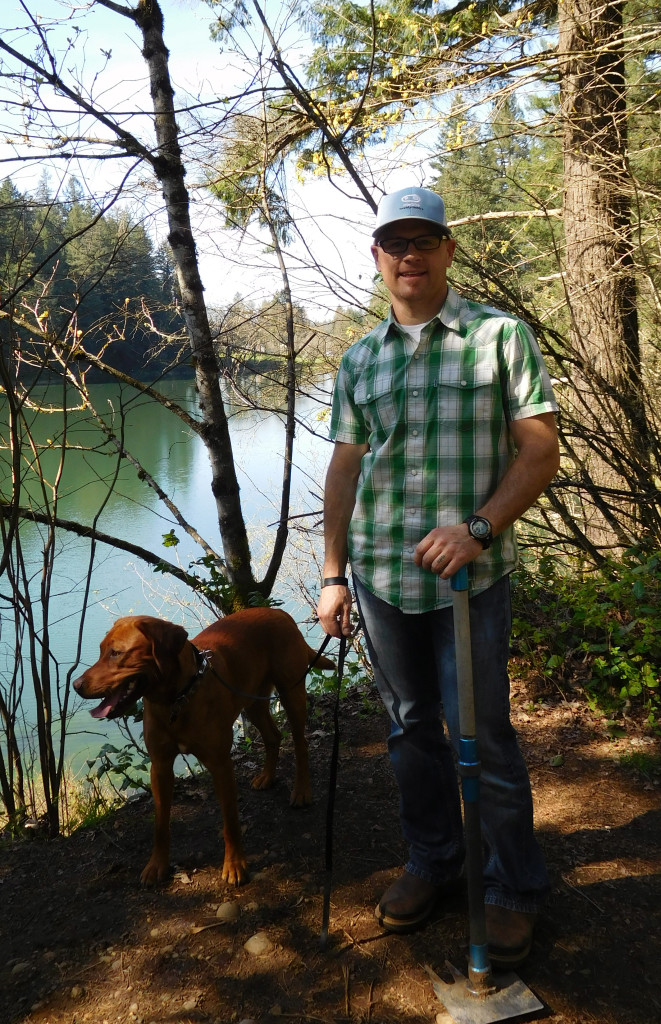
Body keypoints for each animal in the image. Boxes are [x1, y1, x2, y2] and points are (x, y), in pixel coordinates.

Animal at [74, 606, 333, 880]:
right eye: (101, 650)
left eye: (116, 653)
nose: (76, 685)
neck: (177, 699)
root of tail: (280, 612)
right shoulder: (160, 766)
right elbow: (160, 823)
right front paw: (157, 865)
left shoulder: (220, 763)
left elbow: (231, 822)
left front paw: (235, 865)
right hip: (253, 701)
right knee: (273, 736)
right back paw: (267, 777)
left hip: (292, 692)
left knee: (300, 743)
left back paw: (302, 791)